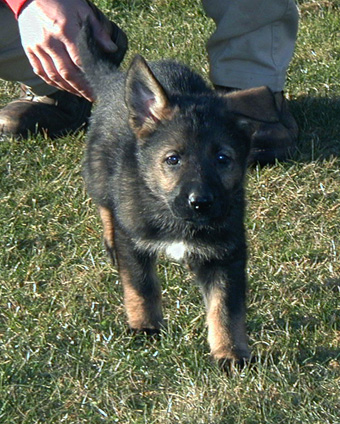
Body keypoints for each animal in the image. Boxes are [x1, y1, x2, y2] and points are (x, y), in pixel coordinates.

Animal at [79, 23, 282, 370]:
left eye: (223, 159)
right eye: (173, 159)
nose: (200, 203)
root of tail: (114, 81)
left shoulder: (226, 252)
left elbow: (225, 307)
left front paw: (230, 352)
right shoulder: (134, 241)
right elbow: (141, 287)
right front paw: (145, 326)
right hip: (99, 172)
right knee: (105, 205)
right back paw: (109, 240)